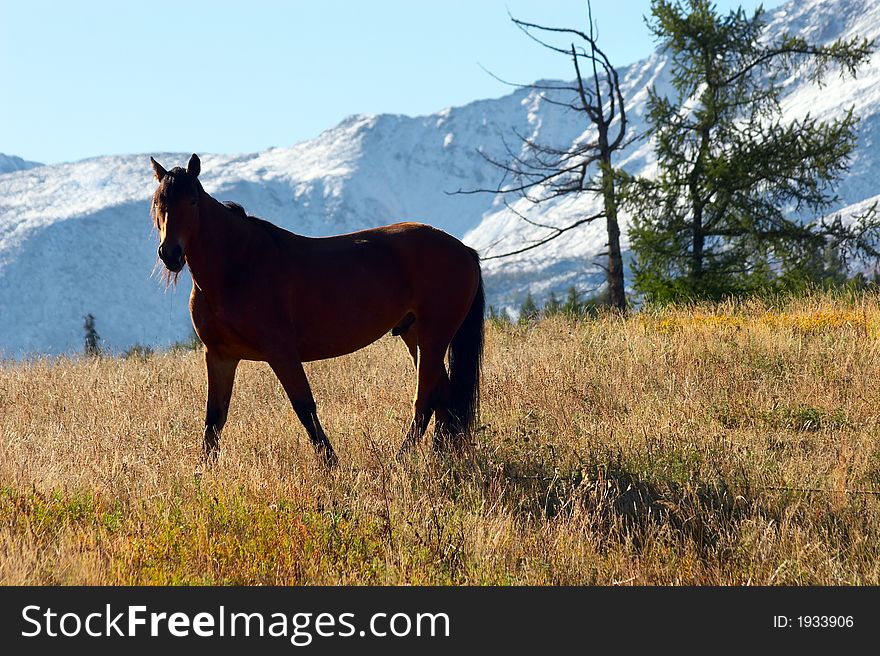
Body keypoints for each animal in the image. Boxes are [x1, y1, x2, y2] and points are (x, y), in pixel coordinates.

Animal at [148, 152, 484, 466]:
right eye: (157, 204)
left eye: (192, 202)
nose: (170, 254)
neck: (238, 266)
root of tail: (463, 249)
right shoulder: (220, 356)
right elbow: (214, 417)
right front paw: (204, 470)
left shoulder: (281, 353)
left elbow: (304, 408)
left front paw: (331, 465)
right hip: (414, 335)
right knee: (443, 398)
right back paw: (442, 455)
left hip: (433, 337)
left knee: (425, 398)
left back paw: (402, 459)